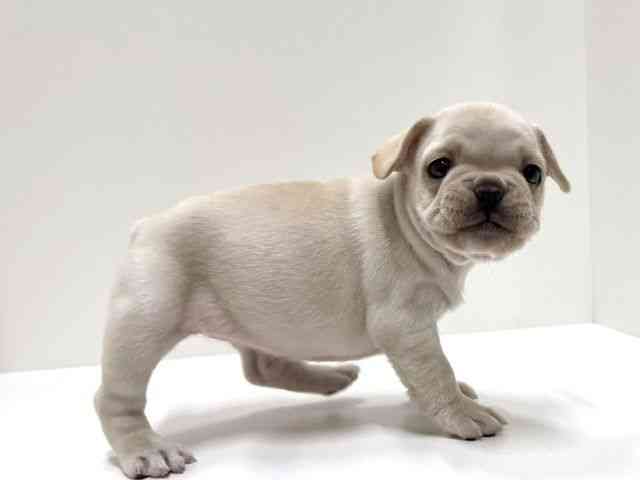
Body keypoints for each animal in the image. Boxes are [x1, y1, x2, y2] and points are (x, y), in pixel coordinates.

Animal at [95, 102, 570, 478]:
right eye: (438, 167)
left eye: (533, 174)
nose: (489, 187)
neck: (404, 218)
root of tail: (145, 227)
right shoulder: (406, 327)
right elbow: (436, 371)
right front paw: (461, 411)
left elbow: (428, 376)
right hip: (144, 322)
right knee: (115, 398)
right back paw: (146, 449)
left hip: (259, 320)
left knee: (262, 365)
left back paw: (329, 378)